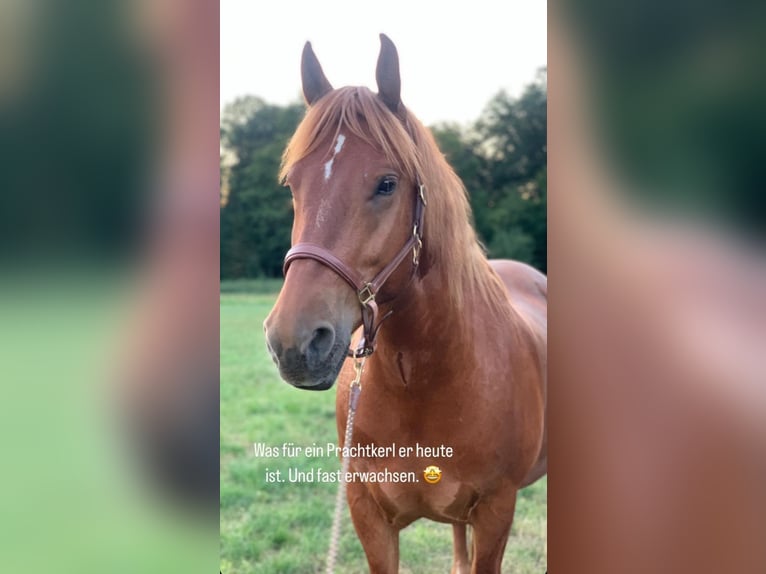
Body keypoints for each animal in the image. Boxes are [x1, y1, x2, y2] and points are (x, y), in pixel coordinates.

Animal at [264, 36, 544, 574]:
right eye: (293, 185)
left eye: (387, 183)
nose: (294, 342)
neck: (422, 381)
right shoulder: (368, 515)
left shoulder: (497, 513)